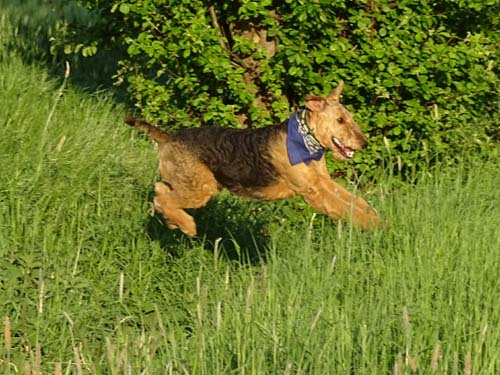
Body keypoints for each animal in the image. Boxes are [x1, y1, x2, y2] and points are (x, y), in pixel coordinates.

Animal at [124, 81, 378, 236]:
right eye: (340, 120)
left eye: (350, 118)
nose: (364, 142)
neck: (307, 139)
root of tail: (168, 137)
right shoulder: (313, 191)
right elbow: (346, 208)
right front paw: (377, 227)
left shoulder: (322, 182)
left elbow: (356, 202)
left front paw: (377, 219)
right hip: (200, 188)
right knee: (162, 196)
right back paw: (187, 225)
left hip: (194, 185)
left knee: (161, 192)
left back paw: (173, 222)